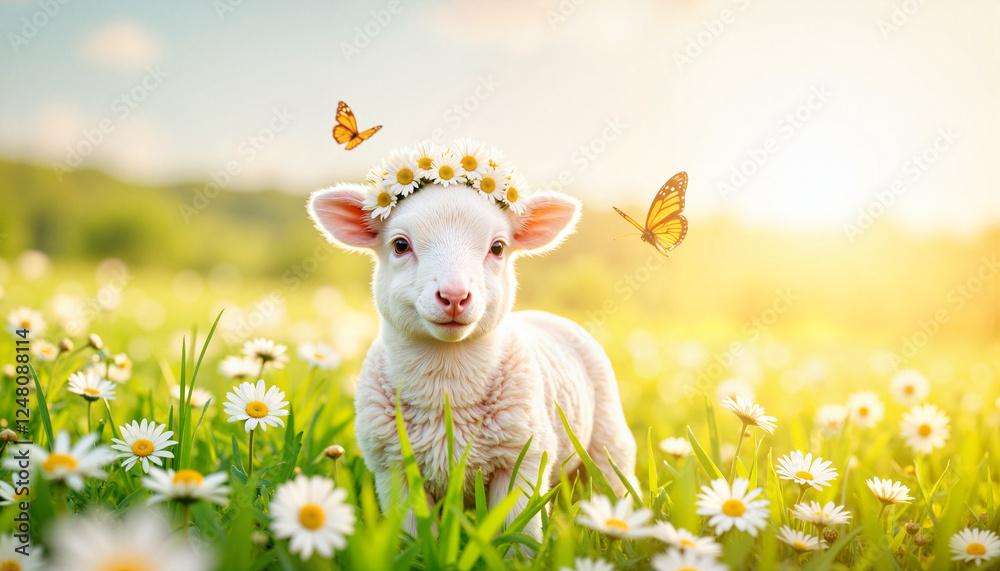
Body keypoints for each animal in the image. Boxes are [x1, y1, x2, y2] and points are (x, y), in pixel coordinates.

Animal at [308, 180, 638, 540]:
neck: (447, 381)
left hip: (608, 437)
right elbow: (415, 537)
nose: (454, 296)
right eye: (400, 245)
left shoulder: (522, 462)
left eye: (498, 247)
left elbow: (520, 537)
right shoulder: (394, 469)